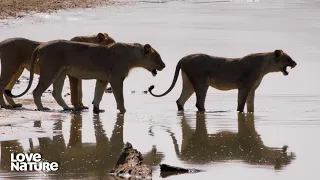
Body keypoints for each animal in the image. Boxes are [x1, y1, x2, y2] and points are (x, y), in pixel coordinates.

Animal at [5, 40, 165, 114]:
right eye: (157, 57)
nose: (164, 66)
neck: (133, 56)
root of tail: (41, 45)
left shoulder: (103, 79)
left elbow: (98, 94)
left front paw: (97, 110)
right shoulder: (116, 78)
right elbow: (119, 97)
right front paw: (123, 111)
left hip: (61, 73)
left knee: (56, 92)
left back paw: (68, 108)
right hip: (50, 71)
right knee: (37, 91)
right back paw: (42, 108)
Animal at [149, 49, 296, 112]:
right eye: (288, 58)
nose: (295, 63)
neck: (265, 66)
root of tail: (183, 58)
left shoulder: (252, 89)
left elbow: (251, 106)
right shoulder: (244, 86)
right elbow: (241, 105)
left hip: (189, 83)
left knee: (180, 101)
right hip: (202, 82)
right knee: (199, 103)